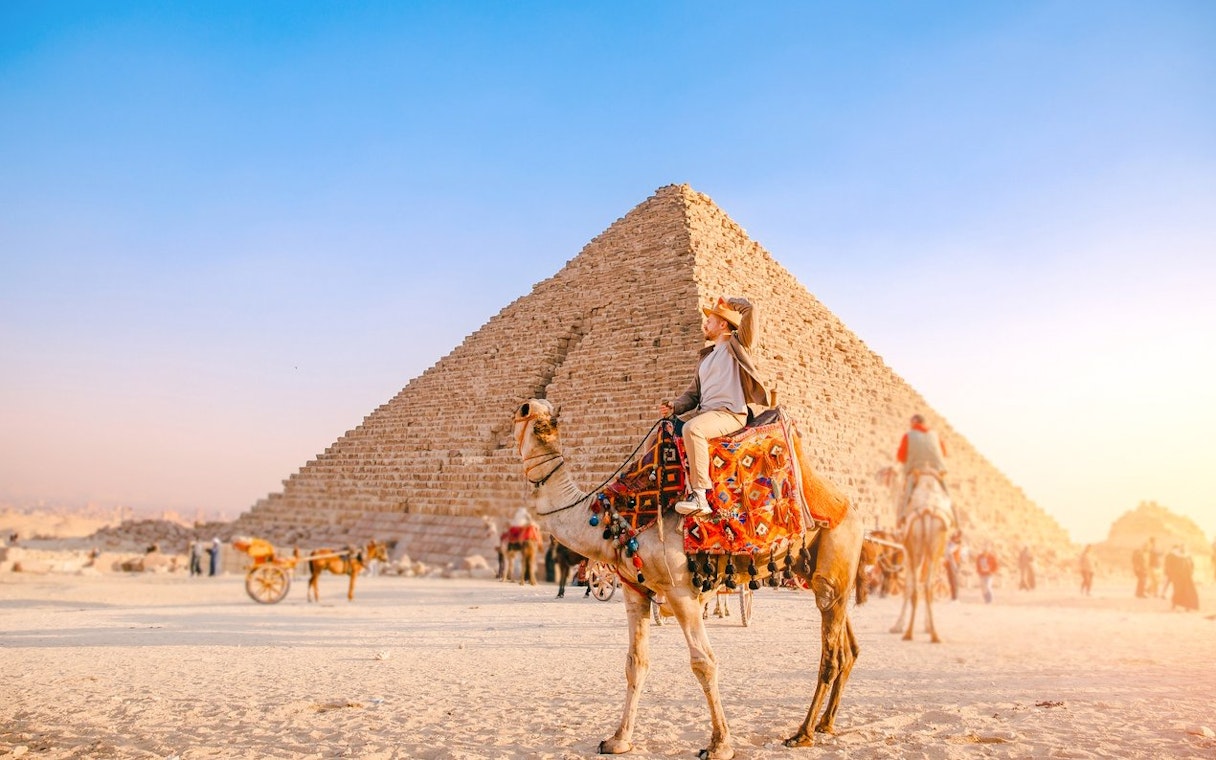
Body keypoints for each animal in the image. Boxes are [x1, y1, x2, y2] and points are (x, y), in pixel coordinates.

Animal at [513, 399, 863, 759]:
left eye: (534, 417)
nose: (537, 408)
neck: (616, 518)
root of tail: (847, 505)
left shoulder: (680, 590)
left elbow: (703, 663)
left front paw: (720, 744)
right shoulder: (634, 590)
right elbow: (635, 662)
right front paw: (618, 739)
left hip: (836, 552)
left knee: (830, 652)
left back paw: (803, 732)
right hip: (818, 568)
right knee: (847, 648)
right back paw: (825, 724)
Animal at [889, 471, 951, 642]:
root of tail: (927, 511)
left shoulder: (906, 550)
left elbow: (907, 586)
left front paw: (897, 625)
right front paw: (926, 626)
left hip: (916, 549)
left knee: (916, 587)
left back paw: (909, 632)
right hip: (932, 548)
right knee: (927, 586)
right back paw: (933, 634)